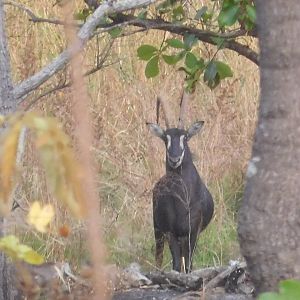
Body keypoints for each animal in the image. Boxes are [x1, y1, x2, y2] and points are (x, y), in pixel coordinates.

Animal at [147, 92, 213, 274]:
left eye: (185, 137)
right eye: (165, 137)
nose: (175, 159)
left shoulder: (193, 232)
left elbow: (188, 265)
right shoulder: (171, 232)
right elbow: (176, 265)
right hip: (158, 229)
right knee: (159, 256)